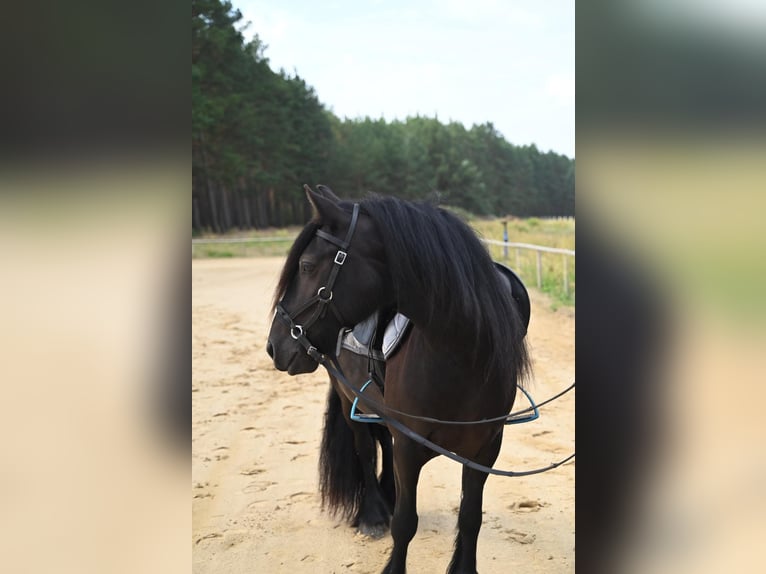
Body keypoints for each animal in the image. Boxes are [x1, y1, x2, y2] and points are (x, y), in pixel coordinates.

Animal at [267, 185, 530, 574]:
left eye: (306, 266)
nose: (275, 345)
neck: (462, 357)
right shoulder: (410, 445)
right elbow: (405, 523)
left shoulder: (485, 449)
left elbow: (470, 517)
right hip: (348, 400)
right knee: (365, 450)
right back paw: (375, 513)